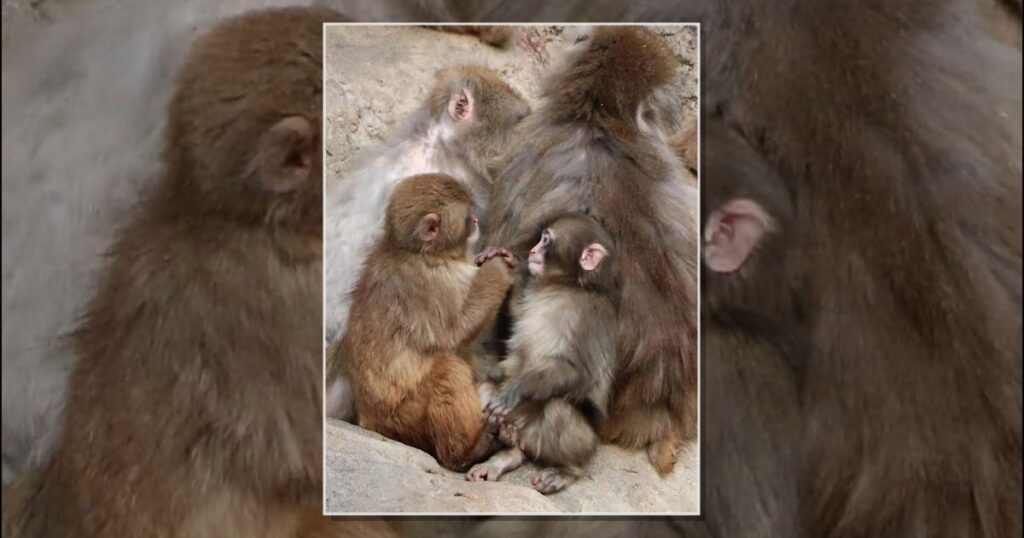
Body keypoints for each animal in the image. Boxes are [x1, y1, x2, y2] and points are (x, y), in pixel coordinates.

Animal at [337, 173, 514, 472]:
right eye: (466, 215)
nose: (476, 220)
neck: (425, 253)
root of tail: (369, 421)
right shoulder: (433, 285)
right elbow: (455, 333)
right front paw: (496, 267)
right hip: (405, 417)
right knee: (448, 371)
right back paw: (465, 452)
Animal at [466, 214, 618, 494]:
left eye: (546, 240)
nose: (533, 250)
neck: (564, 287)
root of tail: (523, 433)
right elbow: (518, 314)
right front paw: (512, 264)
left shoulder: (587, 317)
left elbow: (576, 371)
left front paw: (514, 390)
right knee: (486, 389)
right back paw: (504, 453)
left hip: (570, 437)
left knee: (558, 408)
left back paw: (568, 470)